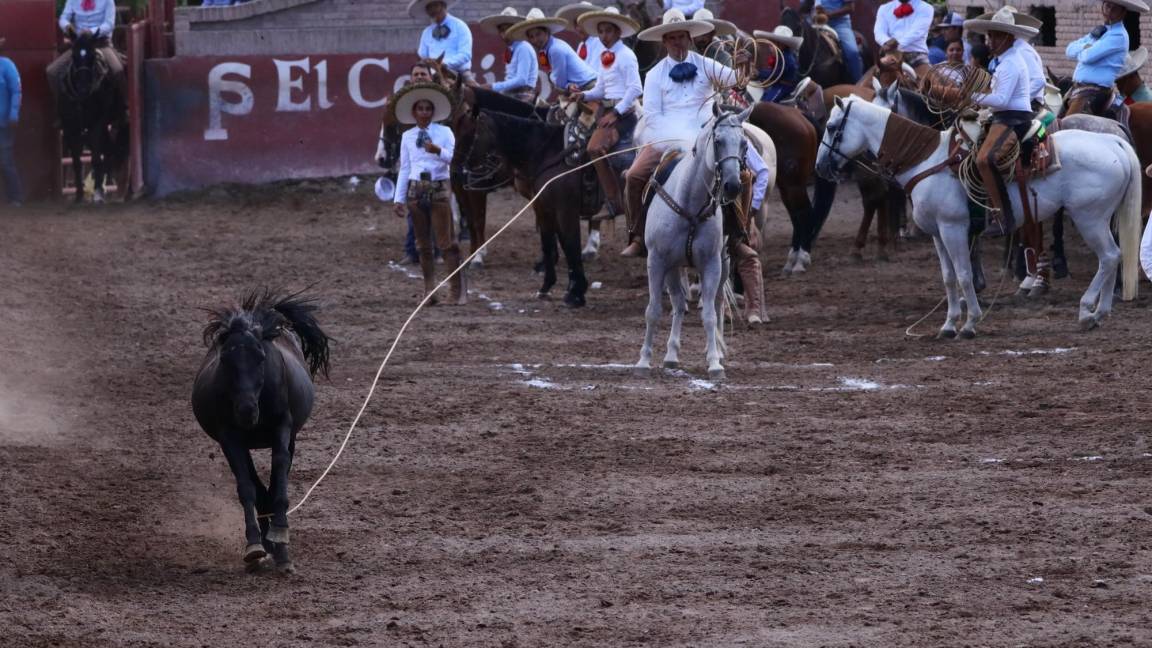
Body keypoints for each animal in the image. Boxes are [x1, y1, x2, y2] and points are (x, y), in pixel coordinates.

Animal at [57, 28, 128, 201]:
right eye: (74, 56)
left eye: (92, 56)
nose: (83, 88)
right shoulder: (70, 127)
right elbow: (76, 161)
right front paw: (79, 195)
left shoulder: (98, 123)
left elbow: (96, 158)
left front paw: (97, 193)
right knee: (108, 150)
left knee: (109, 152)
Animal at [191, 288, 331, 569]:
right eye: (225, 358)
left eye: (261, 356)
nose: (246, 410)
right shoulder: (230, 438)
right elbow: (246, 488)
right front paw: (255, 544)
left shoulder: (282, 429)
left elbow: (279, 476)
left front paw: (281, 537)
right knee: (257, 487)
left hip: (291, 437)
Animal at [815, 96, 1138, 338]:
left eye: (831, 127)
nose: (820, 167)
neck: (927, 161)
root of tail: (1113, 142)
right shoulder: (938, 233)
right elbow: (948, 278)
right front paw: (948, 325)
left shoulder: (953, 228)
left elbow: (964, 274)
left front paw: (969, 324)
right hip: (1102, 218)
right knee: (1114, 256)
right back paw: (1099, 313)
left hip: (1089, 218)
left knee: (1108, 256)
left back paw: (1086, 311)